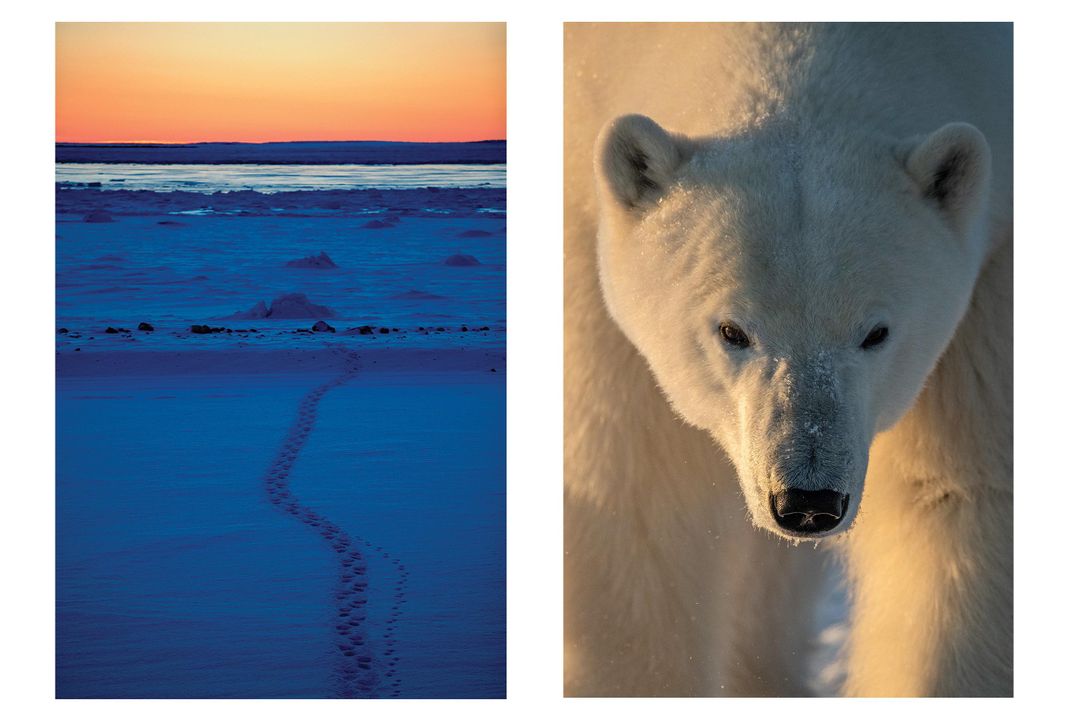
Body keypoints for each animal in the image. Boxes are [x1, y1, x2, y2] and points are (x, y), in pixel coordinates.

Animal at [569, 25, 1011, 698]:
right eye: (732, 330)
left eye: (876, 333)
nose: (807, 500)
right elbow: (634, 488)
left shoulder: (993, 276)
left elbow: (957, 499)